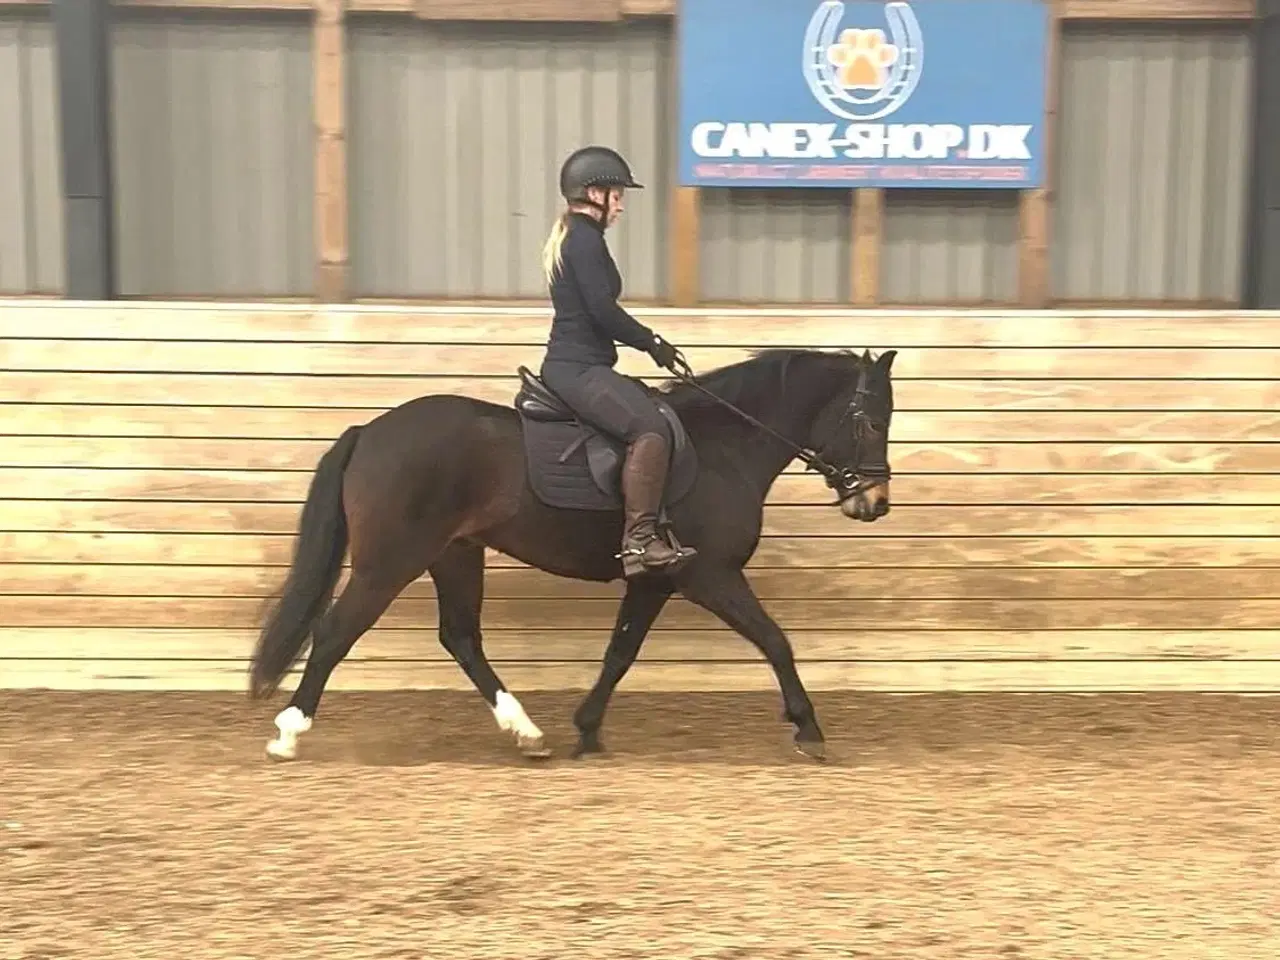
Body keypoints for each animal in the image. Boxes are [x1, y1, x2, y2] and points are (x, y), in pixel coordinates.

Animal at [247, 346, 898, 763]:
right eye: (870, 420)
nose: (874, 502)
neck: (724, 448)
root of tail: (370, 431)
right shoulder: (710, 575)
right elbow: (774, 640)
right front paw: (808, 728)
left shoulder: (655, 580)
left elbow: (619, 654)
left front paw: (586, 730)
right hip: (390, 561)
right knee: (335, 632)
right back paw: (288, 733)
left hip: (455, 554)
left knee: (460, 637)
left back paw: (527, 734)